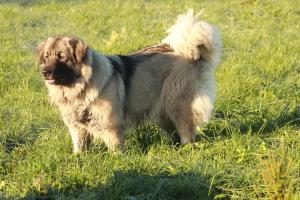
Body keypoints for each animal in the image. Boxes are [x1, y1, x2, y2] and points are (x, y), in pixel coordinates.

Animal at [36, 9, 221, 153]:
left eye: (62, 57)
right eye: (46, 57)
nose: (45, 72)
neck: (81, 87)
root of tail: (193, 54)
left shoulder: (110, 125)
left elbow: (115, 148)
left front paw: (117, 160)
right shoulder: (77, 128)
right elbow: (79, 147)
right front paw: (78, 158)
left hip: (177, 104)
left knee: (187, 132)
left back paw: (186, 148)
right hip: (163, 110)